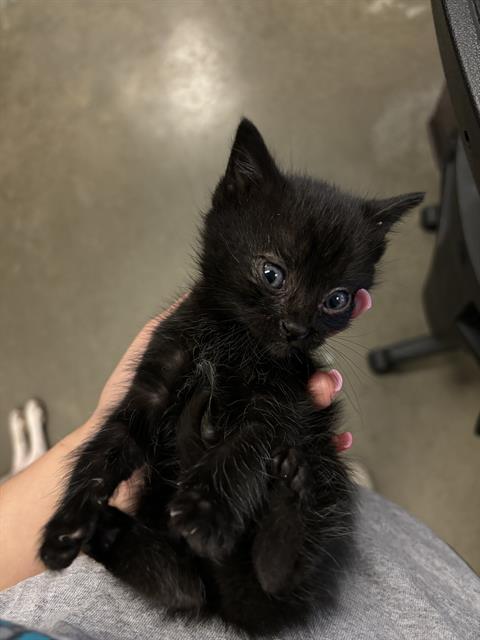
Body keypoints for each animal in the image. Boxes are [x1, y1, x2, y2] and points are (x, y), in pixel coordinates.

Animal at [39, 119, 422, 636]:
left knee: (276, 578)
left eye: (337, 299)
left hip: (325, 460)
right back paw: (107, 530)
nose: (296, 328)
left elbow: (243, 446)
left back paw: (288, 497)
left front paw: (205, 510)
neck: (234, 342)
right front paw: (68, 524)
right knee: (185, 589)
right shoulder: (154, 378)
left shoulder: (284, 399)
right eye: (272, 273)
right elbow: (106, 446)